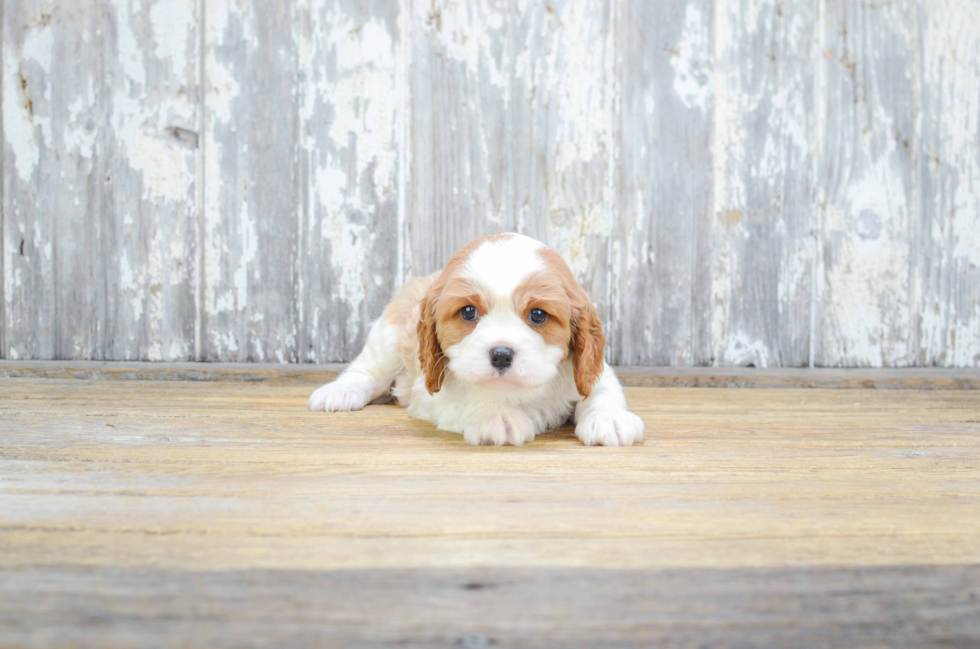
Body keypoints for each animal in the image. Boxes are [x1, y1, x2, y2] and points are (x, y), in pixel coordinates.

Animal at [308, 233, 644, 446]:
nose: (501, 354)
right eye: (468, 312)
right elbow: (469, 399)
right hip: (388, 337)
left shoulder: (593, 368)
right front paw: (497, 417)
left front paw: (610, 420)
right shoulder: (430, 391)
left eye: (537, 315)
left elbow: (601, 391)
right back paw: (339, 392)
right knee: (367, 370)